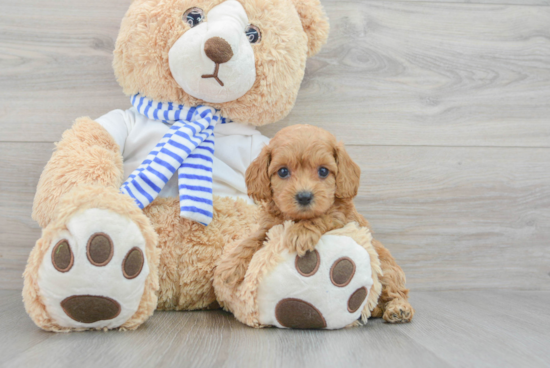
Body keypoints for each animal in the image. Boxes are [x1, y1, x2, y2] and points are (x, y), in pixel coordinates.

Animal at [219, 125, 414, 324]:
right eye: (283, 172)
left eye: (323, 171)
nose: (304, 196)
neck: (296, 218)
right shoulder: (269, 227)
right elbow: (253, 239)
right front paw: (231, 265)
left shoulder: (340, 218)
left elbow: (321, 217)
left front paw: (301, 233)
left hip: (387, 270)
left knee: (397, 292)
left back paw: (398, 309)